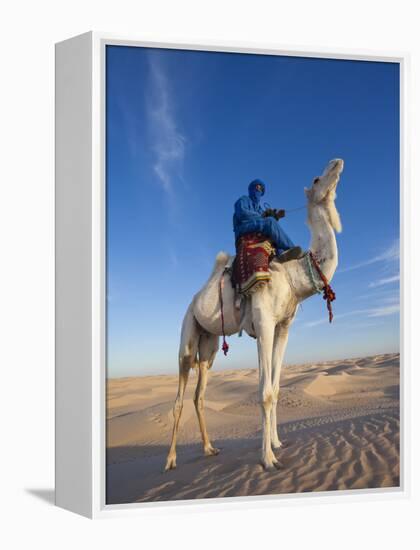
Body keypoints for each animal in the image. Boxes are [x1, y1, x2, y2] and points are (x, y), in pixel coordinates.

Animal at [165, 158, 344, 470]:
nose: (337, 162)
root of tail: (194, 299)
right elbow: (265, 393)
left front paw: (277, 443)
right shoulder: (264, 323)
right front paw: (268, 458)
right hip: (187, 330)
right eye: (317, 178)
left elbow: (276, 388)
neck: (293, 276)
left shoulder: (282, 327)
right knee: (180, 391)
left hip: (209, 343)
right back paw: (171, 460)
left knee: (200, 393)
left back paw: (210, 448)